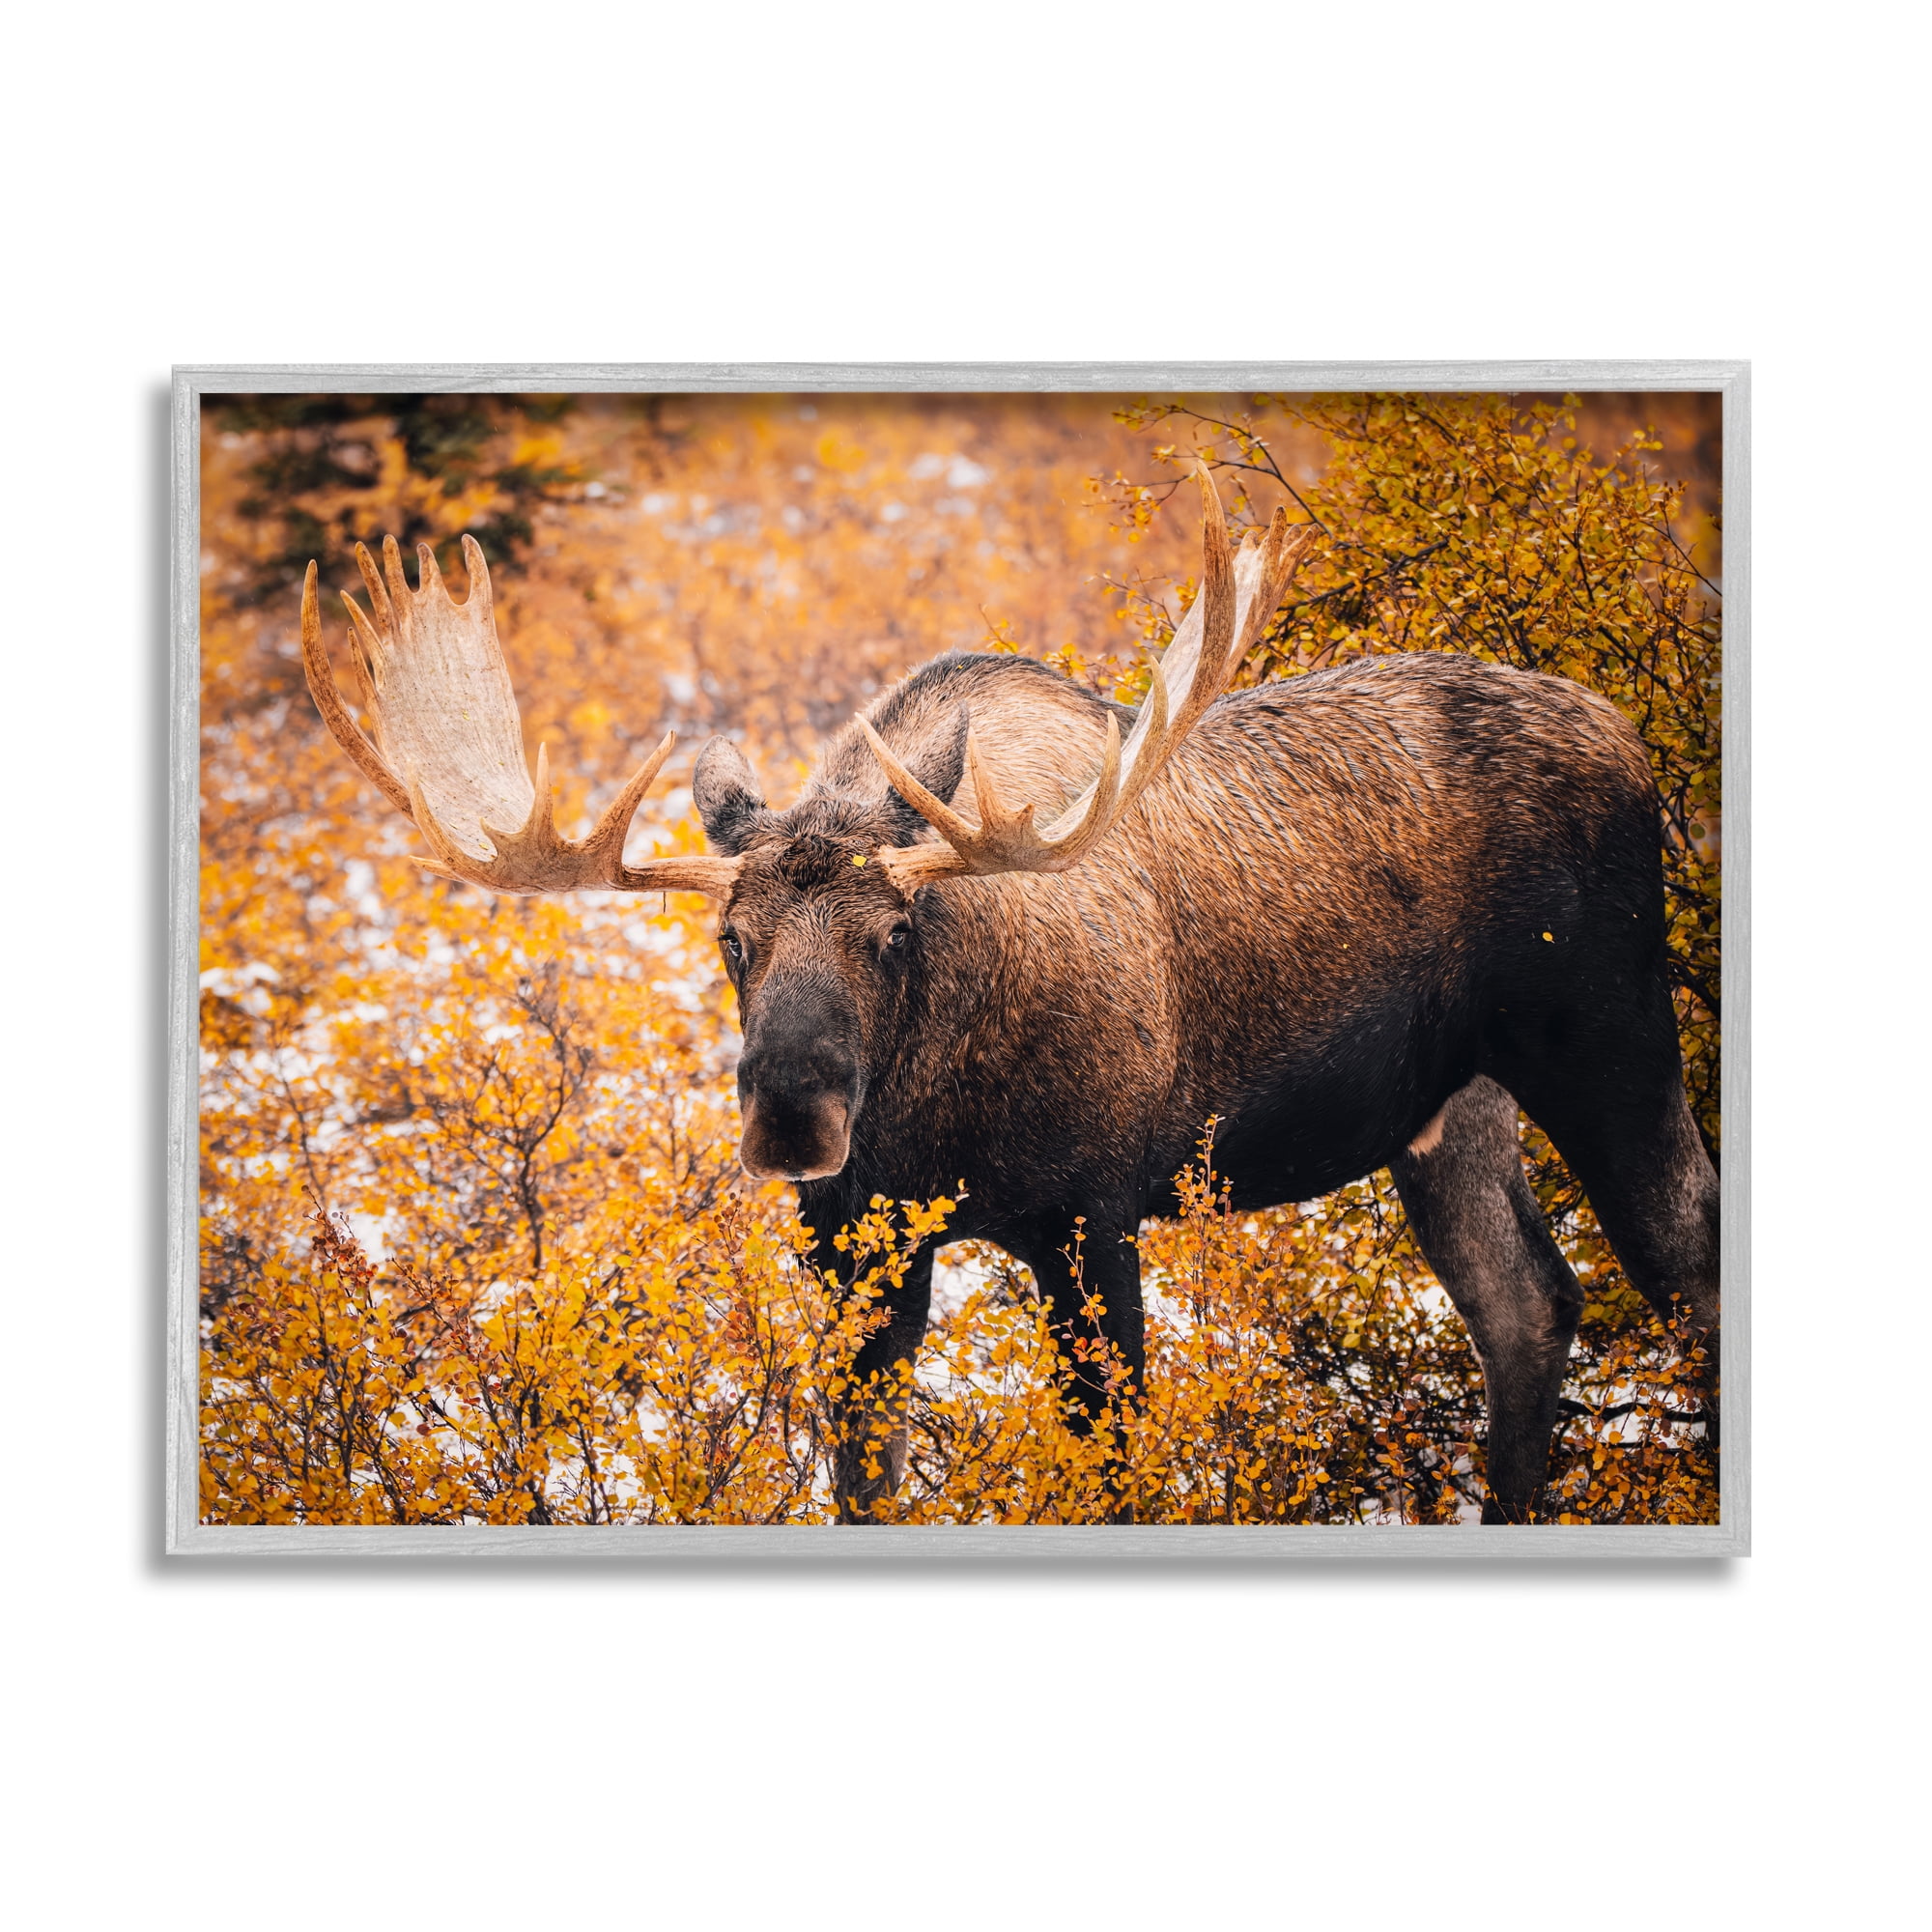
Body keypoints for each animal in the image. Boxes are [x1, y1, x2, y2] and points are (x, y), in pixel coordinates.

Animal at [300, 470, 1720, 1524]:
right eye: (731, 938)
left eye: (893, 931)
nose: (791, 1118)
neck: (932, 1123)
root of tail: (1630, 733)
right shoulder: (854, 1253)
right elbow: (864, 1482)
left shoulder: (1094, 1213)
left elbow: (1117, 1469)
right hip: (1447, 1107)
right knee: (1526, 1304)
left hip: (1608, 1029)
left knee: (1682, 1257)